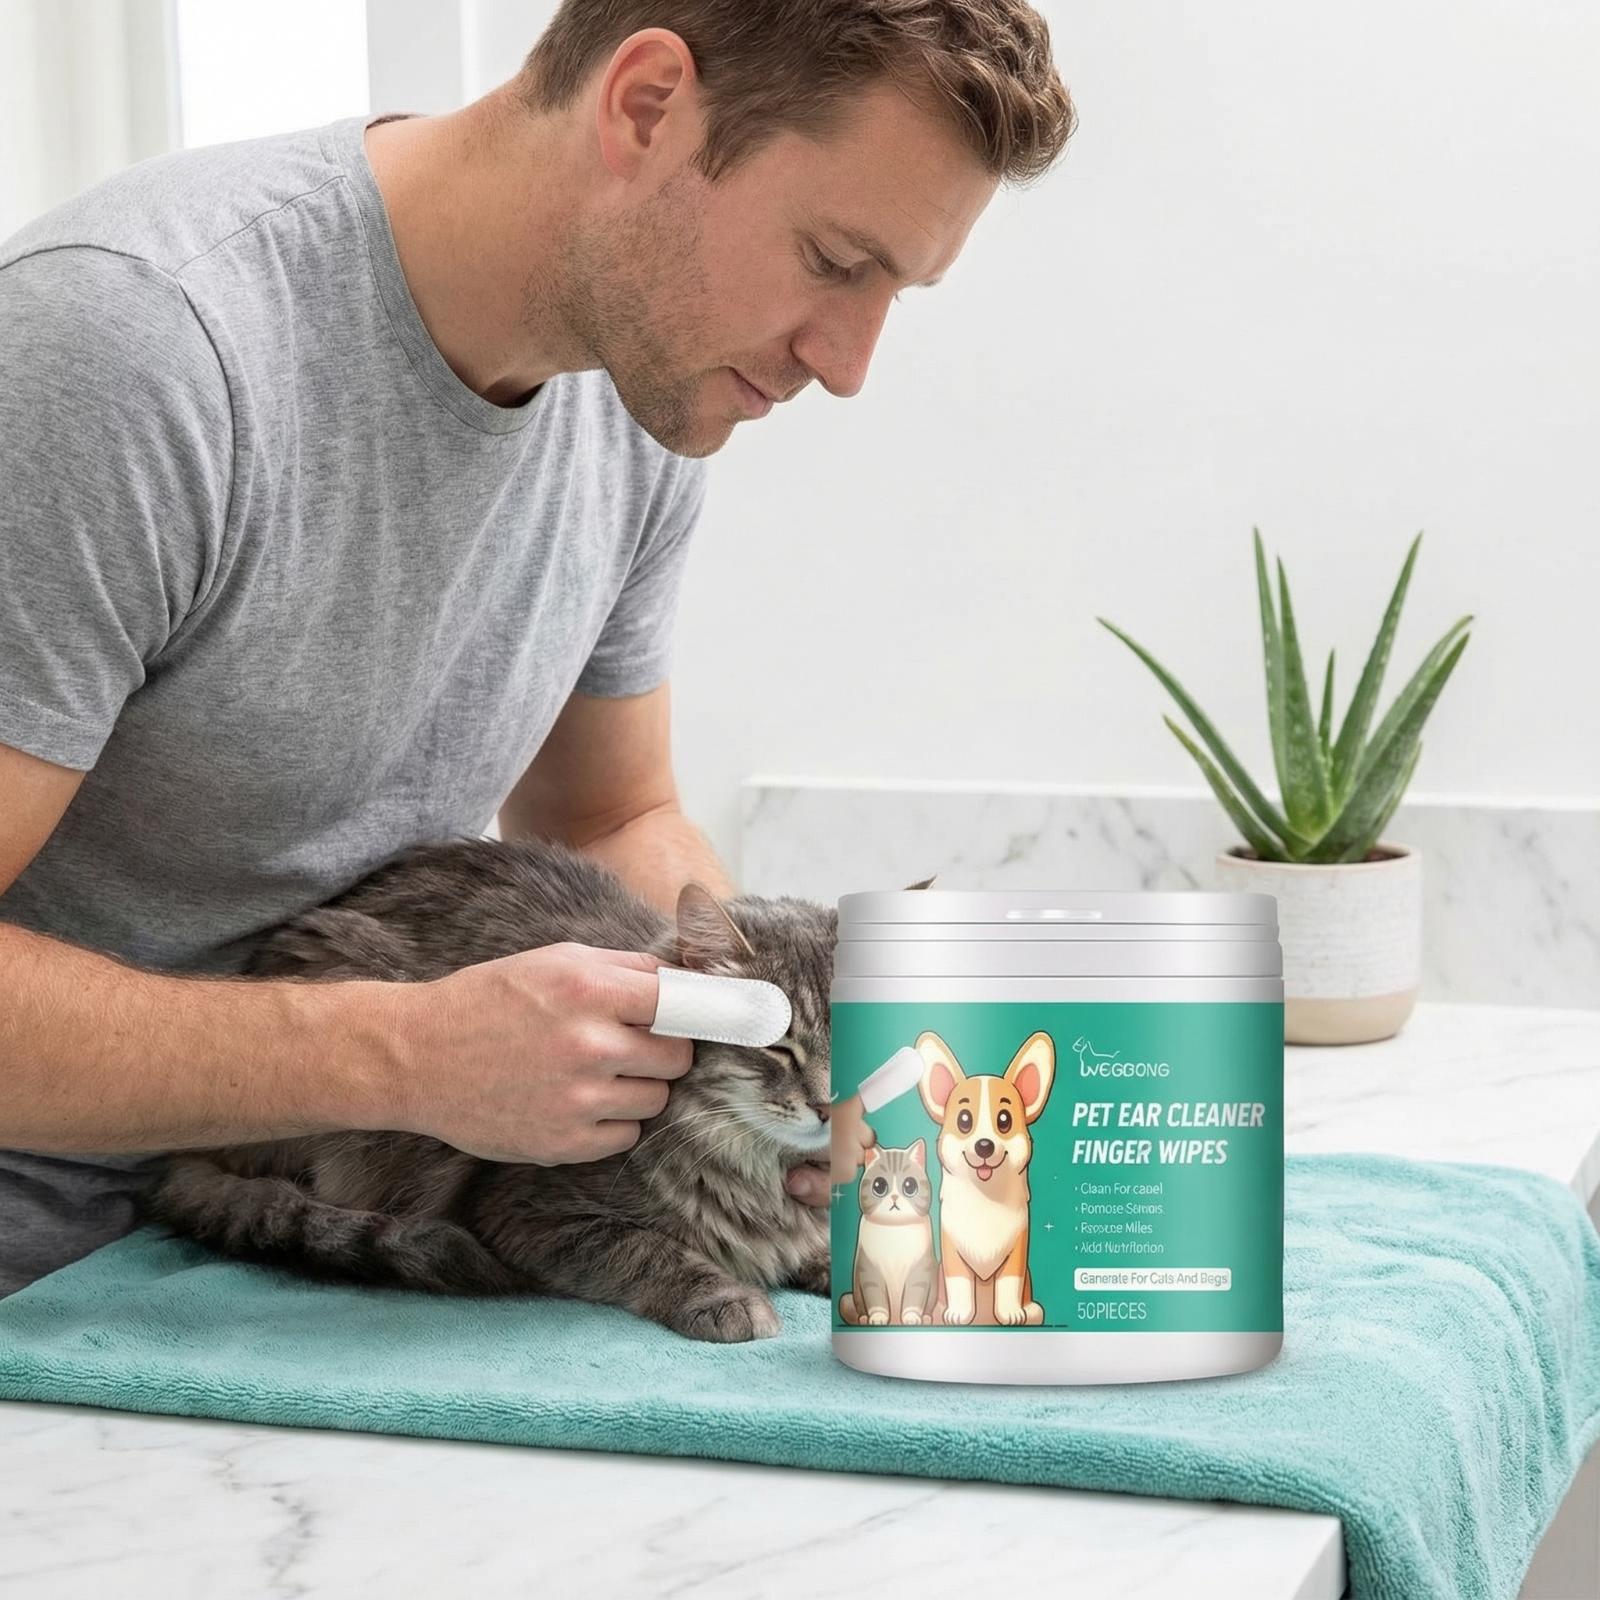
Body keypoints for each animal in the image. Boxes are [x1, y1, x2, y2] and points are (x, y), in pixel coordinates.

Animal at [141, 834, 840, 1343]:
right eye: (778, 1046)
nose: (828, 1106)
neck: (762, 1174)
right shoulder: (530, 1212)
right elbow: (652, 1251)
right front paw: (726, 1297)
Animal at [837, 1139, 943, 1327]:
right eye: (879, 1186)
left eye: (910, 1186)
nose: (894, 1197)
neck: (895, 1230)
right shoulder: (869, 1270)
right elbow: (875, 1296)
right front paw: (877, 1317)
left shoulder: (919, 1270)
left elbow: (914, 1294)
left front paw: (912, 1317)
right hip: (846, 1300)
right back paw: (863, 1319)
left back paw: (926, 1318)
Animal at [916, 1029, 1056, 1326]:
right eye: (964, 1121)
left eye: (1004, 1120)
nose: (984, 1146)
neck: (985, 1197)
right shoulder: (951, 1250)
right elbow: (959, 1282)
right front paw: (958, 1313)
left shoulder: (1018, 1251)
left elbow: (1008, 1283)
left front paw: (1010, 1312)